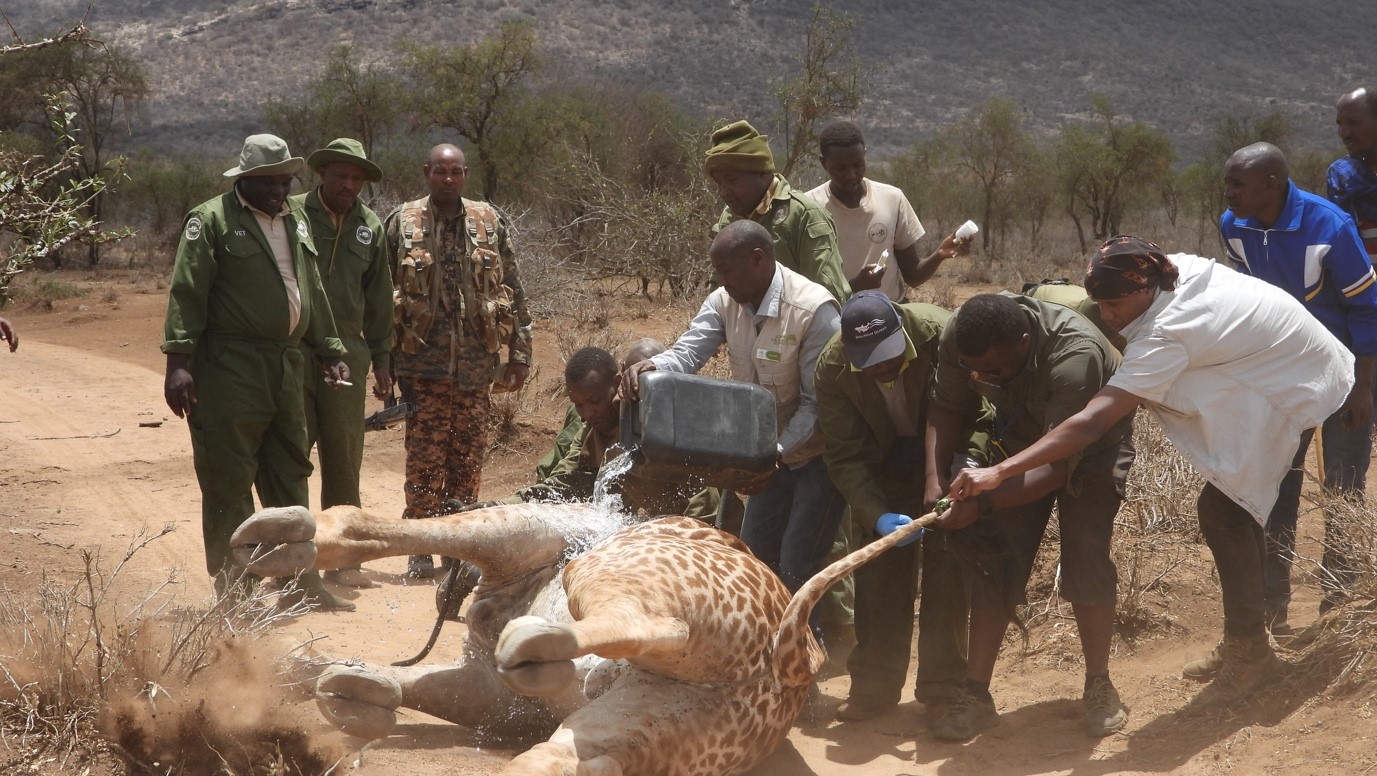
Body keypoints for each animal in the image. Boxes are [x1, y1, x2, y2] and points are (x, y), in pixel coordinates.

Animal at [231, 500, 930, 770]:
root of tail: (794, 664)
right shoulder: (487, 692)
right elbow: (362, 684)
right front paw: (345, 688)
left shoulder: (530, 528)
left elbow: (364, 526)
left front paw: (277, 540)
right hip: (642, 726)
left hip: (596, 568)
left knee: (639, 621)